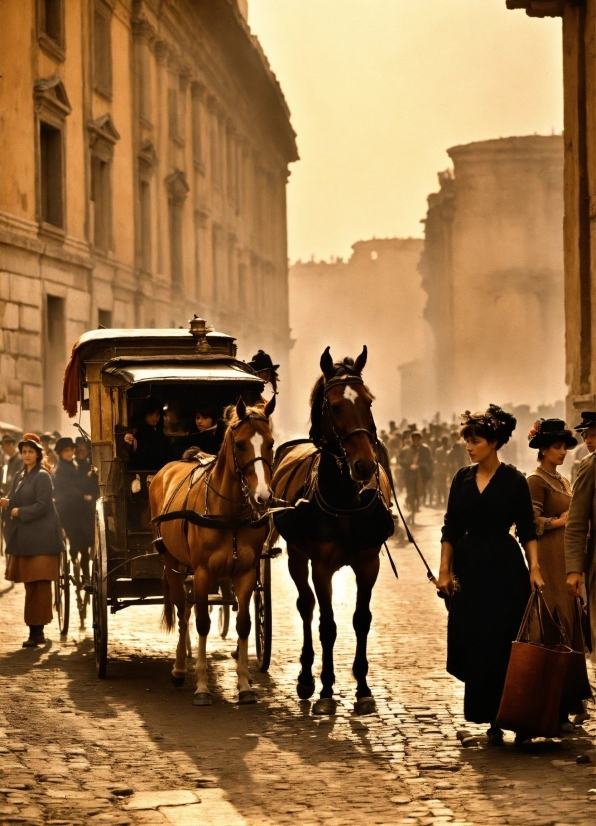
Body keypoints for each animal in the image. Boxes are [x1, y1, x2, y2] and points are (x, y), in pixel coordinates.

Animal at [151, 396, 278, 704]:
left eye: (270, 443)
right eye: (241, 444)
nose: (263, 496)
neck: (229, 515)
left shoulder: (246, 573)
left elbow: (244, 623)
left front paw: (244, 684)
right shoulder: (202, 573)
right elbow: (202, 623)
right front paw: (201, 686)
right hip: (171, 562)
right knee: (183, 611)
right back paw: (180, 667)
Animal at [272, 348, 394, 716]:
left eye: (368, 401)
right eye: (335, 406)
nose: (365, 465)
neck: (345, 500)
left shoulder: (368, 563)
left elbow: (361, 619)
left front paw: (363, 689)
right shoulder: (321, 566)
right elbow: (327, 625)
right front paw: (326, 691)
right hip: (297, 557)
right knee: (306, 606)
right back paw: (306, 678)